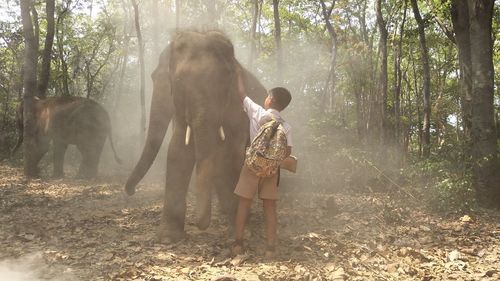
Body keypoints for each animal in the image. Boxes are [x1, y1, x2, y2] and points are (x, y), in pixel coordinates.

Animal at [123, 30, 268, 241]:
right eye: (179, 83)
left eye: (224, 82)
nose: (131, 191)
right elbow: (178, 150)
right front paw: (168, 238)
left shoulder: (237, 109)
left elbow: (229, 153)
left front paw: (240, 231)